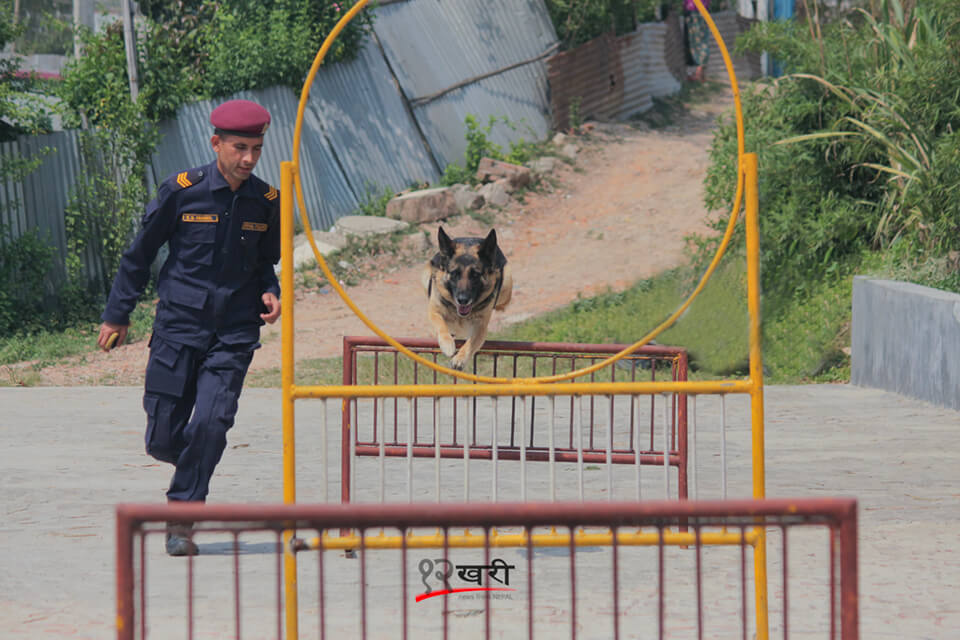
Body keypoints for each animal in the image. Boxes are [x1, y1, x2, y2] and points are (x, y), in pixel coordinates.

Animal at [418, 226, 510, 370]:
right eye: (455, 274)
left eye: (475, 275)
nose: (463, 300)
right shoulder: (434, 311)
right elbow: (441, 325)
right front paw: (447, 344)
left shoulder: (481, 327)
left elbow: (470, 343)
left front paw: (460, 358)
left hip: (507, 284)